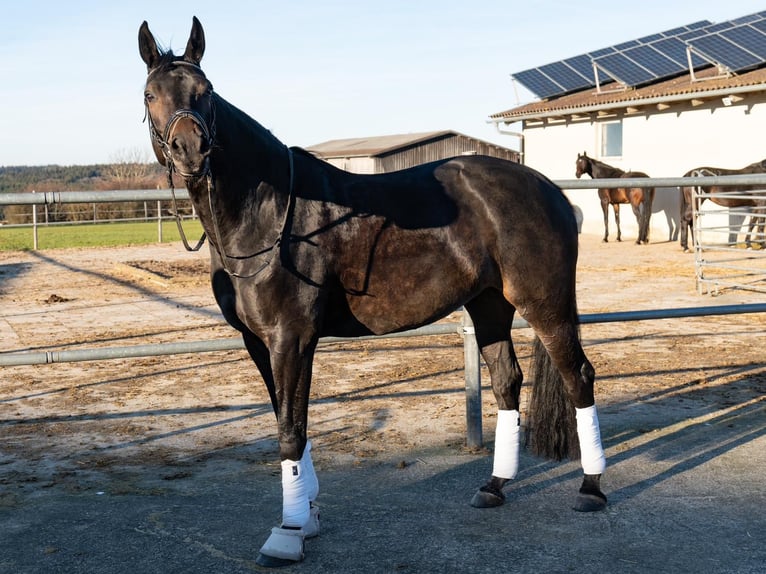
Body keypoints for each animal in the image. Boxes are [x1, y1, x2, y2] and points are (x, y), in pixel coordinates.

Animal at [136, 16, 608, 568]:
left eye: (206, 91)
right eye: (150, 94)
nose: (190, 151)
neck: (270, 213)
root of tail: (547, 188)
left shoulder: (291, 339)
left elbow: (290, 431)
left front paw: (288, 532)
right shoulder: (259, 343)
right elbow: (288, 420)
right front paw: (308, 517)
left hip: (545, 303)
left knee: (578, 376)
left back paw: (591, 488)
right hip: (489, 304)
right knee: (508, 382)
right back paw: (493, 486)